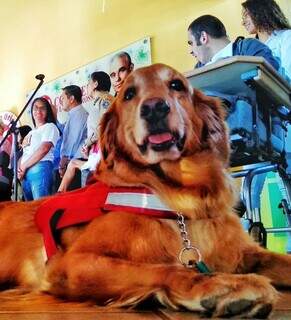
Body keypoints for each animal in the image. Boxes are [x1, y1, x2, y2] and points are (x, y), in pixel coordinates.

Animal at [0, 63, 291, 318]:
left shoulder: (244, 251)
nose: (154, 108)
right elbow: (166, 268)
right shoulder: (69, 262)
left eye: (176, 85)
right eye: (129, 94)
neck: (181, 198)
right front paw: (223, 284)